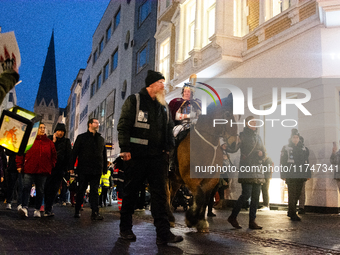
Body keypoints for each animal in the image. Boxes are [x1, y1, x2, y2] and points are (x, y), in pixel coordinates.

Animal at [168, 93, 239, 231]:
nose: (234, 144)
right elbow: (200, 198)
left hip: (175, 180)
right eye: (227, 114)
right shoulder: (191, 178)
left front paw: (200, 221)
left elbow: (205, 200)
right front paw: (191, 219)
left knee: (171, 194)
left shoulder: (211, 180)